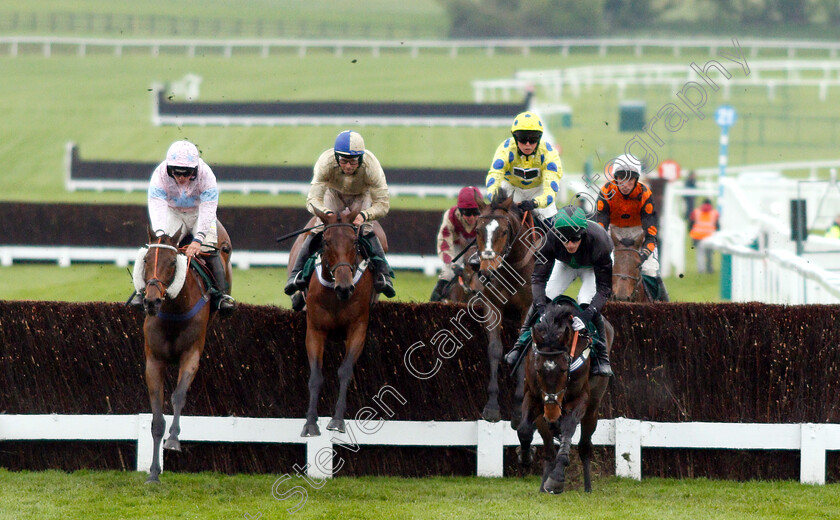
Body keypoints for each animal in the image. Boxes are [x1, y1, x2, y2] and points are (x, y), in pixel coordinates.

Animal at [137, 224, 231, 484]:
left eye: (172, 263)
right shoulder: (154, 361)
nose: (151, 301)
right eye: (146, 259)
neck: (173, 311)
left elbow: (178, 396)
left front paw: (173, 440)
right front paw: (153, 473)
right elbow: (157, 418)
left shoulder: (191, 355)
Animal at [292, 209, 378, 436]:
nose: (345, 287)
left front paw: (338, 420)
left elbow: (345, 371)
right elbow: (316, 376)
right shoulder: (315, 330)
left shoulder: (358, 329)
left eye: (354, 242)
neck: (334, 296)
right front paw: (310, 423)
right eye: (326, 242)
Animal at [470, 191, 540, 422]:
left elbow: (521, 351)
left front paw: (518, 408)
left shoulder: (527, 308)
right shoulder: (492, 305)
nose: (486, 271)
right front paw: (491, 406)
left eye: (503, 231)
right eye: (477, 230)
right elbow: (494, 349)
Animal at [516, 298, 612, 494]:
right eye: (538, 369)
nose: (552, 413)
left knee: (584, 446)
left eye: (563, 369)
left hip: (592, 409)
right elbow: (524, 429)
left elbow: (568, 429)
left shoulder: (579, 399)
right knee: (549, 450)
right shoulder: (534, 396)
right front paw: (525, 455)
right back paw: (542, 486)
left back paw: (587, 487)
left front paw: (557, 478)